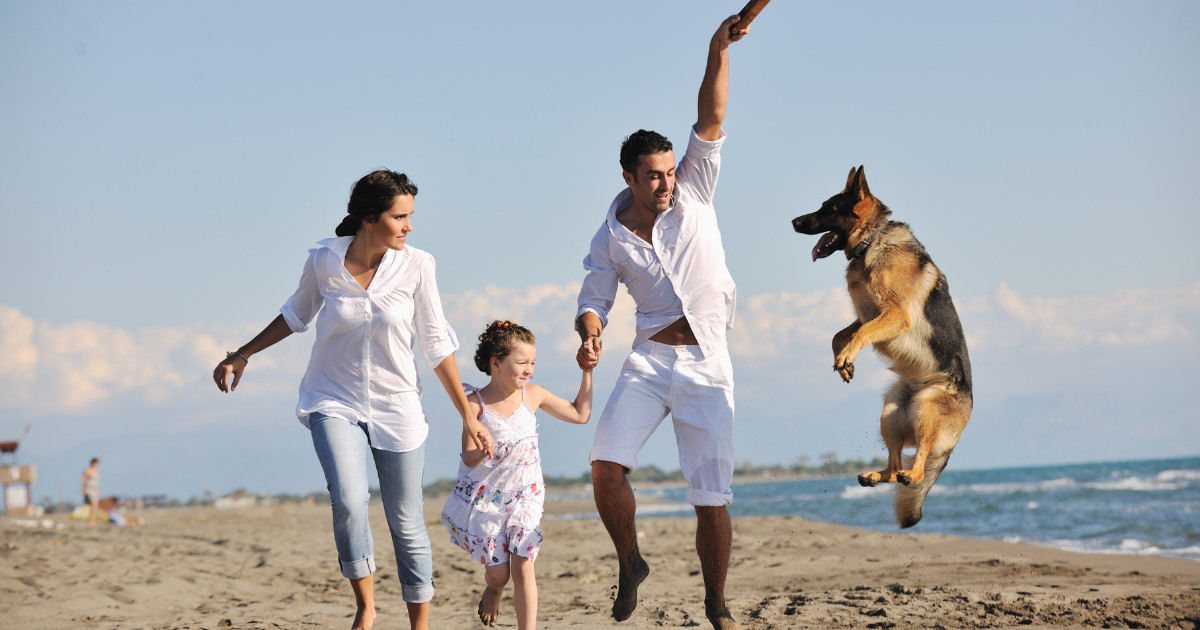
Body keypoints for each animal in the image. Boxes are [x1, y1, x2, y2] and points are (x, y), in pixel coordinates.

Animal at [792, 165, 969, 525]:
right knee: (894, 465)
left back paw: (911, 475)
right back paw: (876, 475)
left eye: (827, 209)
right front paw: (845, 364)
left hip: (926, 408)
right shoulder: (869, 314)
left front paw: (846, 357)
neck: (871, 241)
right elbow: (840, 335)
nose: (793, 222)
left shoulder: (894, 315)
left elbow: (858, 335)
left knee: (917, 464)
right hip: (891, 411)